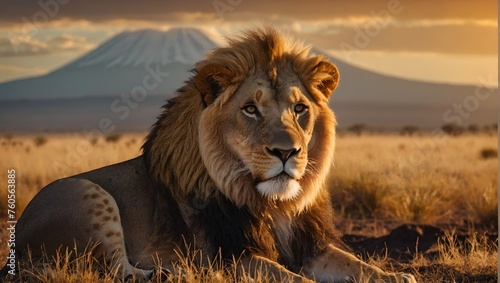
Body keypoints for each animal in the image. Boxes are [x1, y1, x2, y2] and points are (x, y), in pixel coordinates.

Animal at [1, 27, 416, 283]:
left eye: (300, 109)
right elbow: (294, 279)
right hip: (88, 194)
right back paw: (172, 274)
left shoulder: (310, 246)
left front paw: (399, 275)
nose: (287, 152)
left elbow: (358, 264)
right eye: (250, 109)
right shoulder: (230, 255)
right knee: (118, 270)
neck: (273, 204)